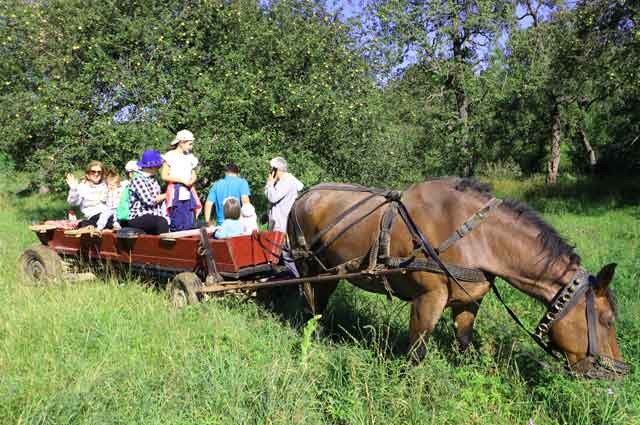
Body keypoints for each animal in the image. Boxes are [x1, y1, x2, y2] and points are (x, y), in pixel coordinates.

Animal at [292, 177, 632, 376]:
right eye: (607, 320)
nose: (618, 372)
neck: (477, 238)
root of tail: (304, 195)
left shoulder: (469, 301)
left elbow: (465, 343)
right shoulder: (428, 299)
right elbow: (416, 354)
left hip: (329, 272)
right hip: (310, 269)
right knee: (311, 306)